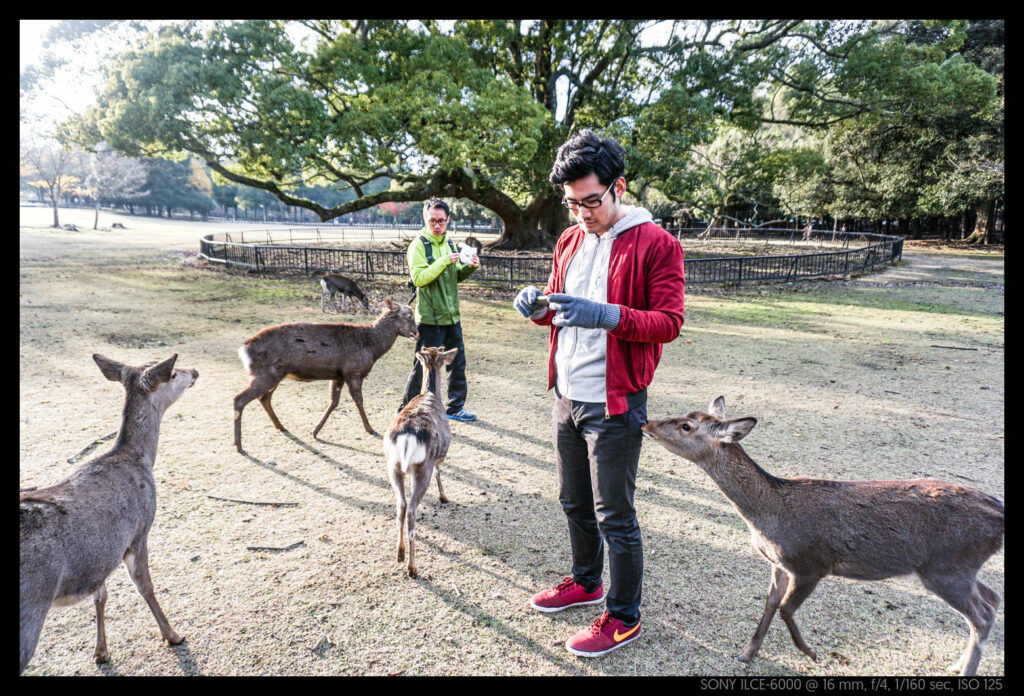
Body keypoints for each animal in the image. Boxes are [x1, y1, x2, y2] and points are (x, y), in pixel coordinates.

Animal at [19, 356, 198, 671]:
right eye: (175, 373)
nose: (196, 371)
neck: (140, 458)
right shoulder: (139, 531)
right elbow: (146, 587)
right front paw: (173, 635)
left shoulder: (101, 559)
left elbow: (100, 596)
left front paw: (101, 652)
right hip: (29, 611)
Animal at [234, 296, 417, 450]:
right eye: (409, 315)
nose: (416, 333)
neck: (372, 348)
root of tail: (244, 350)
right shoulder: (354, 372)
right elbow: (359, 401)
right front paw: (370, 428)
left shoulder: (338, 376)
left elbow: (333, 402)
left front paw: (315, 431)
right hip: (265, 375)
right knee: (239, 399)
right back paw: (239, 445)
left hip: (274, 376)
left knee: (264, 398)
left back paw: (280, 426)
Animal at [382, 343, 458, 577]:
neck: (430, 393)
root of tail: (407, 436)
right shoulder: (438, 457)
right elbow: (440, 472)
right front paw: (444, 497)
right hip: (422, 468)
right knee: (412, 511)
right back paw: (412, 567)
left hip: (393, 466)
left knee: (400, 505)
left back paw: (399, 553)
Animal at [643, 397, 1003, 675]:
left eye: (687, 426)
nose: (647, 422)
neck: (768, 516)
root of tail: (999, 513)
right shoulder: (779, 564)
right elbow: (770, 604)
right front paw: (746, 653)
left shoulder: (811, 564)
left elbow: (786, 609)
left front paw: (810, 652)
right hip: (957, 569)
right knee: (992, 598)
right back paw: (957, 664)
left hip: (945, 568)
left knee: (982, 615)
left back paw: (966, 670)